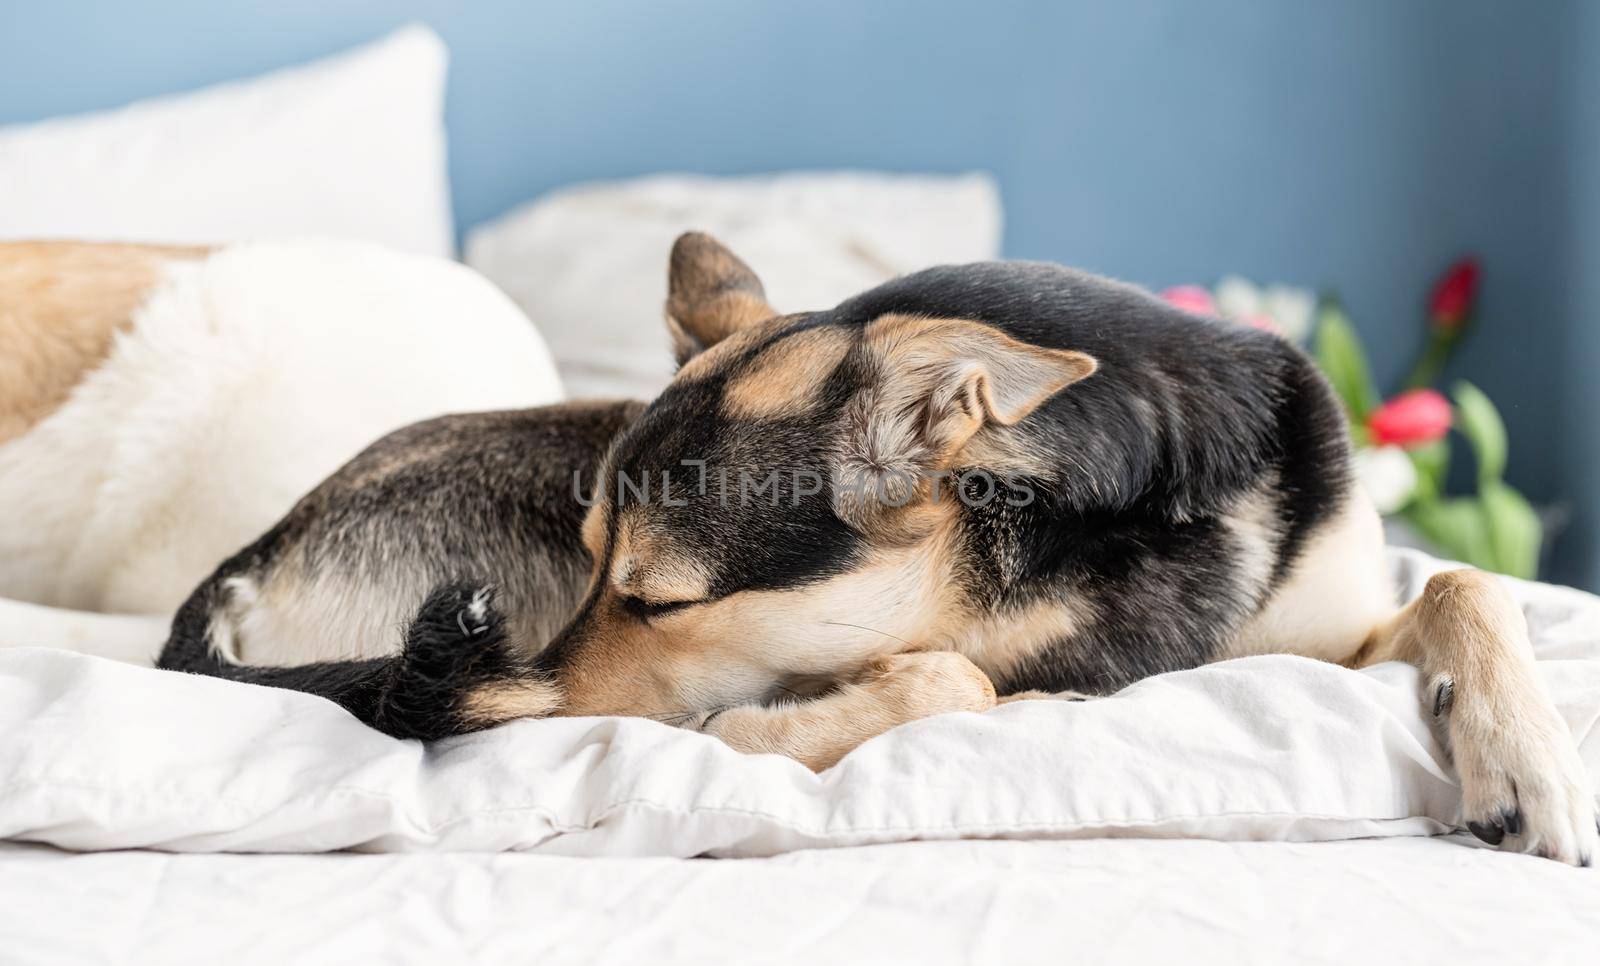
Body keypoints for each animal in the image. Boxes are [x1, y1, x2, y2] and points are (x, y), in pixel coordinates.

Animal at [156, 233, 1593, 870]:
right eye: (594, 563)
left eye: (655, 598)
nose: (522, 694)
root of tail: (245, 561)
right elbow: (952, 680)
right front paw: (763, 736)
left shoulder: (1333, 628)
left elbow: (1464, 580)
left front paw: (1527, 760)